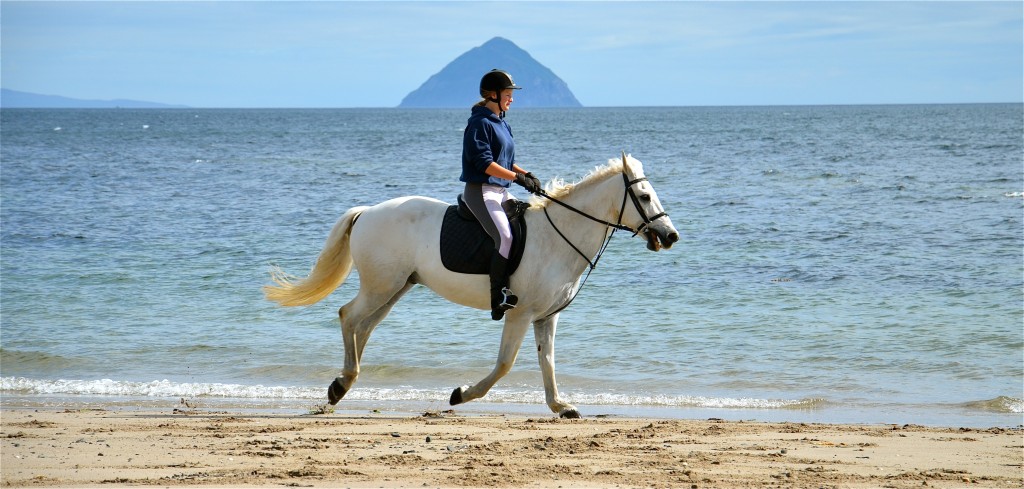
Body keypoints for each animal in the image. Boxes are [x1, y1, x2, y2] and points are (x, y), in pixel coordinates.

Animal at [266, 152, 679, 417]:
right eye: (644, 196)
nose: (670, 235)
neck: (559, 236)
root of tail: (367, 211)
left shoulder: (546, 316)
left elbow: (547, 361)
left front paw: (561, 406)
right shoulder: (519, 313)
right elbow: (505, 364)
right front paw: (461, 394)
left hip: (396, 288)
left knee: (362, 325)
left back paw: (342, 386)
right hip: (381, 286)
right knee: (348, 316)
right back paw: (341, 384)